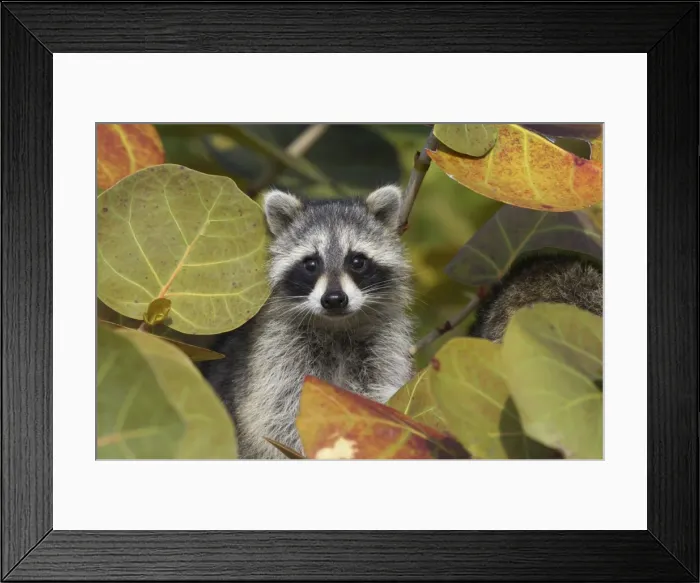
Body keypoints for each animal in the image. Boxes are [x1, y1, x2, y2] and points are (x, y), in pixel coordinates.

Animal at [200, 185, 414, 459]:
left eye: (357, 261)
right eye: (311, 263)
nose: (334, 300)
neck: (336, 327)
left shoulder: (383, 346)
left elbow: (379, 393)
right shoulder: (278, 353)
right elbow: (276, 415)